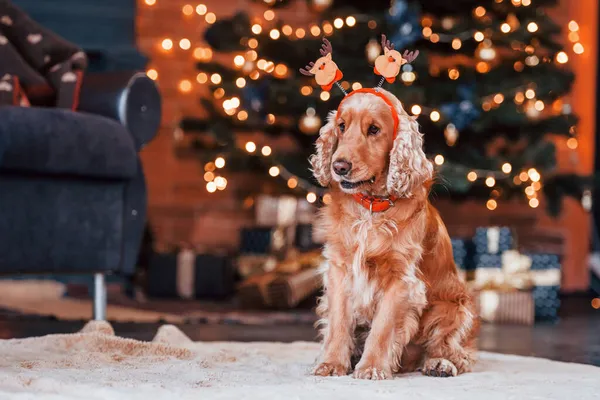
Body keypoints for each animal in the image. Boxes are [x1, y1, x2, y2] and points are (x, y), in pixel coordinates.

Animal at [310, 88, 478, 382]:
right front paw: (331, 363)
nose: (339, 166)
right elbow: (338, 322)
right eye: (341, 126)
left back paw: (440, 364)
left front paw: (372, 367)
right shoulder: (340, 269)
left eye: (374, 129)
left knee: (454, 350)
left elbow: (383, 326)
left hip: (454, 308)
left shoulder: (401, 279)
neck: (370, 208)